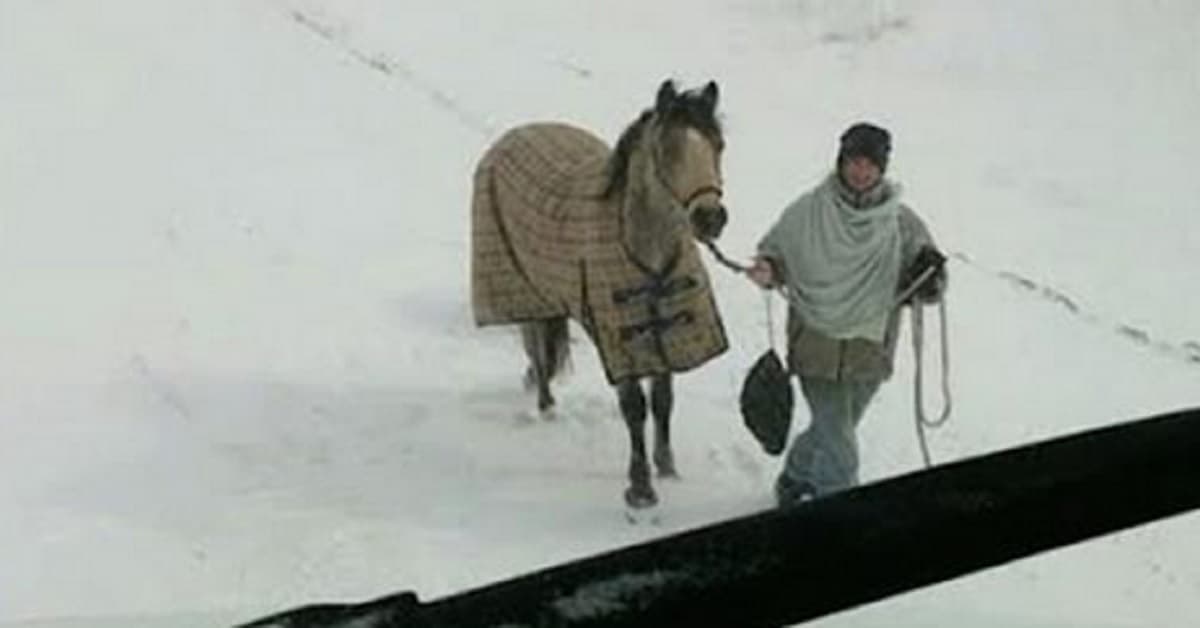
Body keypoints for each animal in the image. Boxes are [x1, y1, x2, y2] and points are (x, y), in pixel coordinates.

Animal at [470, 79, 729, 511]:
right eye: (667, 149)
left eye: (718, 144)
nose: (710, 218)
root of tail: (514, 134)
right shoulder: (618, 335)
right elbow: (634, 408)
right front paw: (641, 489)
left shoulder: (667, 333)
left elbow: (663, 400)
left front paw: (668, 468)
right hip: (526, 287)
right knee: (536, 343)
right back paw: (546, 407)